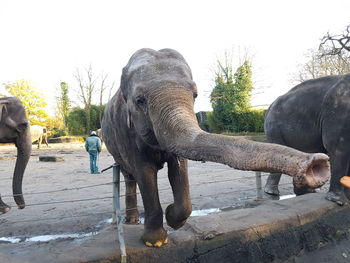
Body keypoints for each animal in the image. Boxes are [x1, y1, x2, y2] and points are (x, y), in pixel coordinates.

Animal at [102, 48, 330, 249]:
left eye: (195, 95)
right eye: (140, 100)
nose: (317, 163)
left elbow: (179, 168)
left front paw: (174, 218)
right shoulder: (126, 132)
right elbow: (145, 172)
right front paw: (155, 241)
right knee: (130, 176)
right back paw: (132, 221)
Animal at [264, 73, 350, 206]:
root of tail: (270, 106)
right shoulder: (338, 113)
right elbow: (337, 148)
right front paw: (339, 202)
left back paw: (305, 192)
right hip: (274, 128)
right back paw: (271, 193)